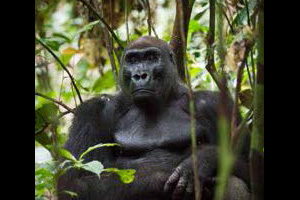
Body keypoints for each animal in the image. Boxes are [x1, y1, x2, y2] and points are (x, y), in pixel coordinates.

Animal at [57, 36, 250, 200]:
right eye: (133, 60)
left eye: (151, 58)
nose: (140, 75)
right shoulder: (93, 111)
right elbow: (76, 181)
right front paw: (160, 176)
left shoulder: (214, 105)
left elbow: (249, 164)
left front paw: (202, 161)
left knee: (233, 181)